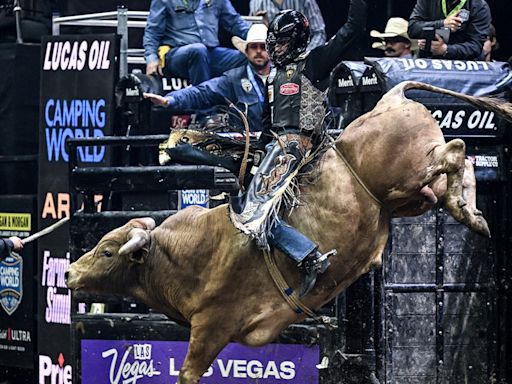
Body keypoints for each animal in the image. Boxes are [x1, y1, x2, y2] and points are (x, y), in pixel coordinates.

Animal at [65, 79, 512, 382]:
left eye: (107, 251)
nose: (69, 272)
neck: (187, 254)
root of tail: (393, 98)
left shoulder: (212, 325)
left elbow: (189, 373)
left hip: (409, 176)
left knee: (455, 149)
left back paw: (468, 210)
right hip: (410, 197)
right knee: (458, 165)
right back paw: (469, 211)